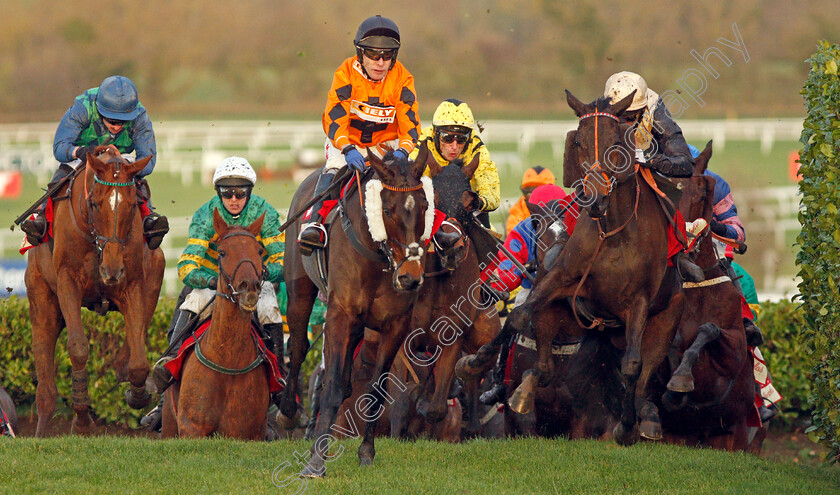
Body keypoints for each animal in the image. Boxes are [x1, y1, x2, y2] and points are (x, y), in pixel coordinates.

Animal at [25, 148, 164, 438]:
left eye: (132, 204)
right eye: (95, 204)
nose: (111, 270)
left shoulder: (133, 283)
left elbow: (138, 361)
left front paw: (136, 394)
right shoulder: (67, 281)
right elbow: (78, 347)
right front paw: (82, 422)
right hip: (42, 299)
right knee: (45, 379)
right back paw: (41, 431)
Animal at [159, 211, 270, 440]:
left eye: (258, 250)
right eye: (222, 252)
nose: (249, 287)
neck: (227, 360)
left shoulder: (248, 432)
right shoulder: (191, 428)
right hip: (169, 425)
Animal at [284, 150, 434, 476]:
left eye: (425, 206)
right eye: (387, 209)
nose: (410, 277)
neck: (377, 257)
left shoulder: (395, 324)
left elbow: (376, 391)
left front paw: (366, 452)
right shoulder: (340, 314)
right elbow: (332, 386)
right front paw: (316, 460)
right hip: (299, 291)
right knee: (299, 346)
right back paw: (288, 412)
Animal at [460, 91, 688, 448]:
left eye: (617, 142)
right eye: (578, 141)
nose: (594, 198)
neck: (612, 234)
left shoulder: (638, 301)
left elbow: (632, 365)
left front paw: (626, 427)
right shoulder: (562, 277)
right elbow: (519, 316)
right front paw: (474, 363)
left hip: (668, 315)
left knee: (644, 370)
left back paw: (644, 418)